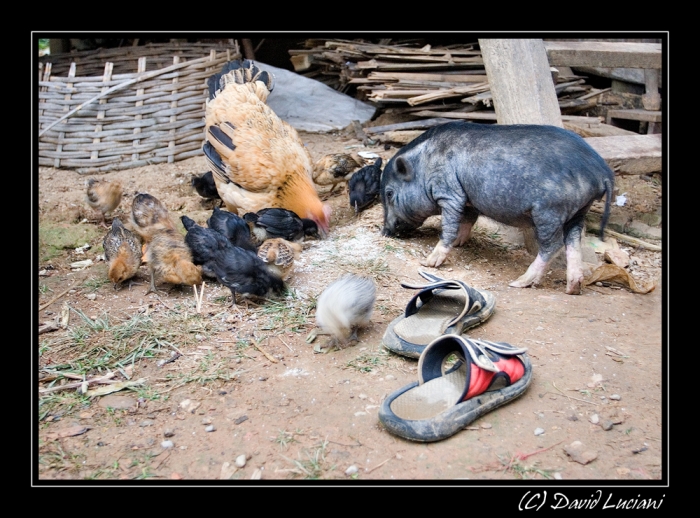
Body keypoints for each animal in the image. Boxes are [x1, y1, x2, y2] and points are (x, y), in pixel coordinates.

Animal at [380, 120, 616, 294]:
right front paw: (458, 243)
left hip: (550, 210)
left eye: (389, 194)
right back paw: (573, 288)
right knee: (574, 241)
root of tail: (602, 171)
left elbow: (449, 224)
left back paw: (520, 282)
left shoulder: (449, 192)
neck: (424, 165)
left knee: (554, 244)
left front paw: (429, 262)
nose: (384, 231)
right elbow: (467, 220)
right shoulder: (468, 198)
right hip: (580, 210)